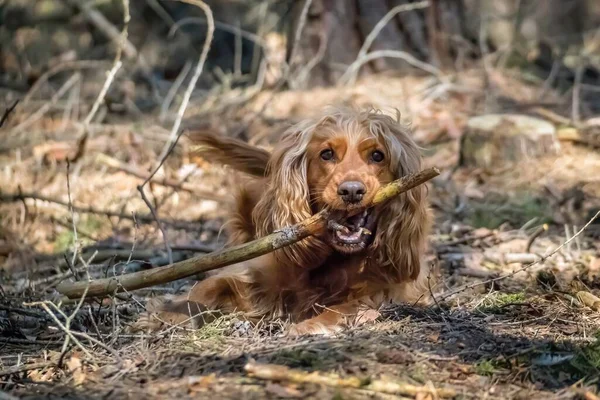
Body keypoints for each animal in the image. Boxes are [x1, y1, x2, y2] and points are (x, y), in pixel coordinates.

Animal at [134, 106, 434, 334]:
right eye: (327, 154)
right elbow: (208, 285)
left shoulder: (384, 290)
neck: (331, 260)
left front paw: (307, 326)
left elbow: (344, 307)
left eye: (377, 155)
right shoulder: (258, 270)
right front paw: (170, 312)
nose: (351, 191)